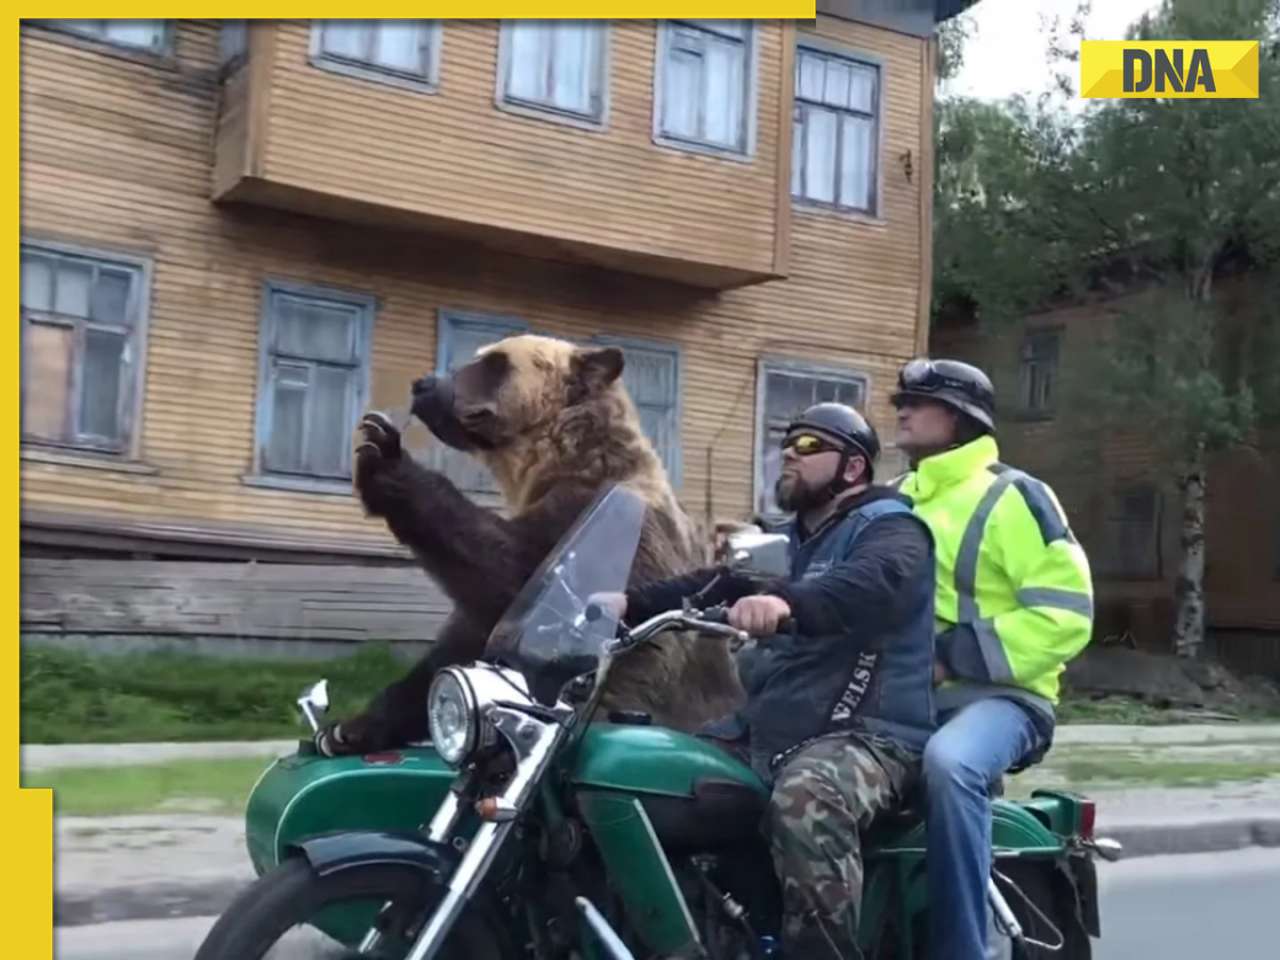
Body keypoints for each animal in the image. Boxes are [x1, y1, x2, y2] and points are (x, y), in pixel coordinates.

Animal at [317, 335, 742, 757]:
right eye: (479, 357)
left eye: (494, 362)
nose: (423, 385)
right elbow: (460, 648)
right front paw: (347, 730)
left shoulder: (606, 528)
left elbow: (516, 570)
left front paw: (381, 455)